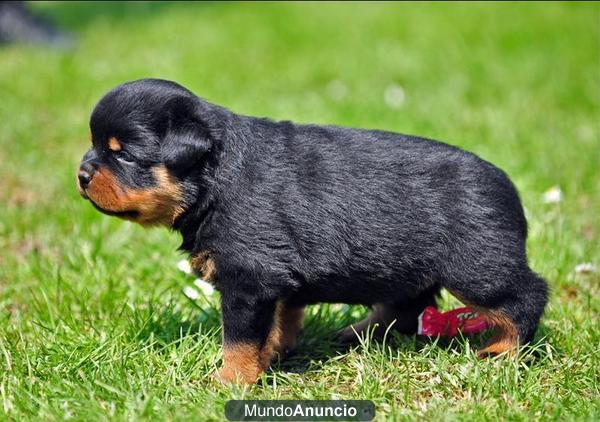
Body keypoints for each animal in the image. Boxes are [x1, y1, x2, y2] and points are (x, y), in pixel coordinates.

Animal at [78, 80, 548, 386]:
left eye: (124, 155)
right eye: (95, 145)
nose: (81, 174)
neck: (215, 177)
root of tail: (508, 188)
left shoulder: (249, 279)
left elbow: (240, 338)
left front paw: (229, 379)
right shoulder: (274, 281)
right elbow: (280, 320)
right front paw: (273, 356)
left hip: (477, 265)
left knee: (525, 296)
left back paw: (502, 353)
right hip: (405, 265)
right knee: (405, 305)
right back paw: (357, 333)